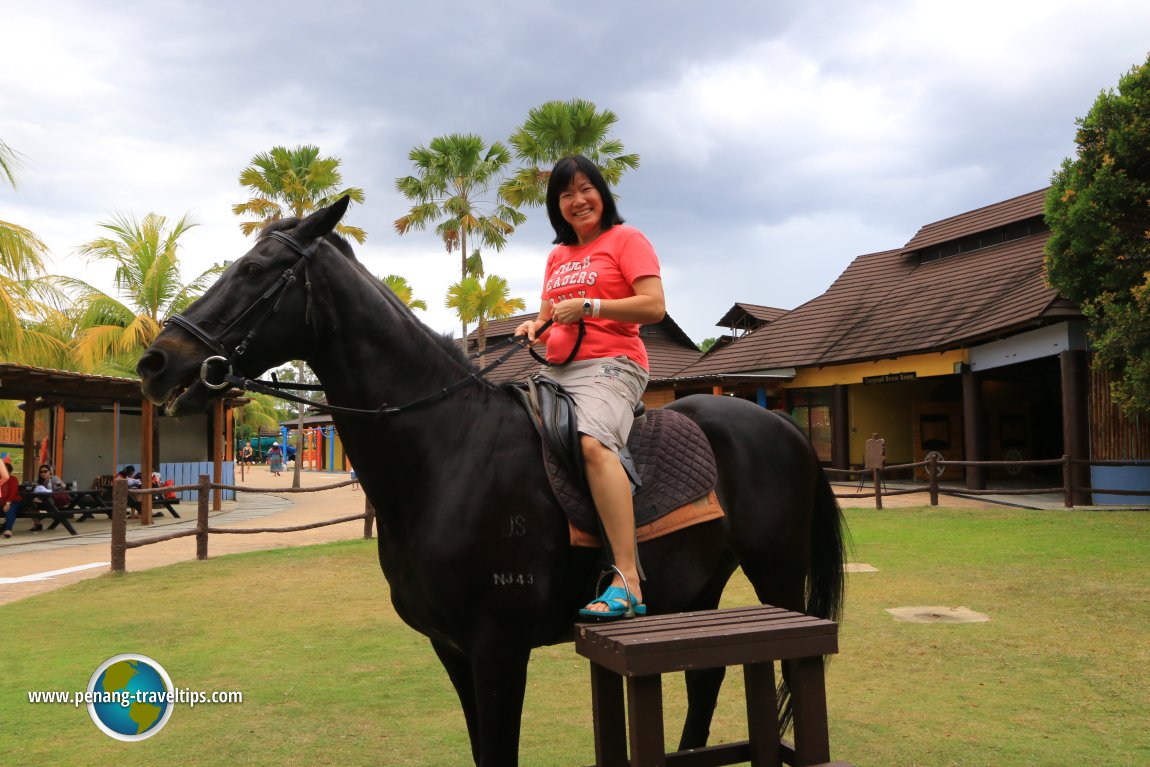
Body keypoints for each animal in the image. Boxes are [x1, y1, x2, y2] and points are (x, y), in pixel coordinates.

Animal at [139, 200, 851, 767]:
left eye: (254, 271)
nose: (155, 361)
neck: (448, 450)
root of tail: (782, 427)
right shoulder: (453, 649)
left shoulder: (499, 650)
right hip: (698, 586)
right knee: (706, 677)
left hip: (778, 576)